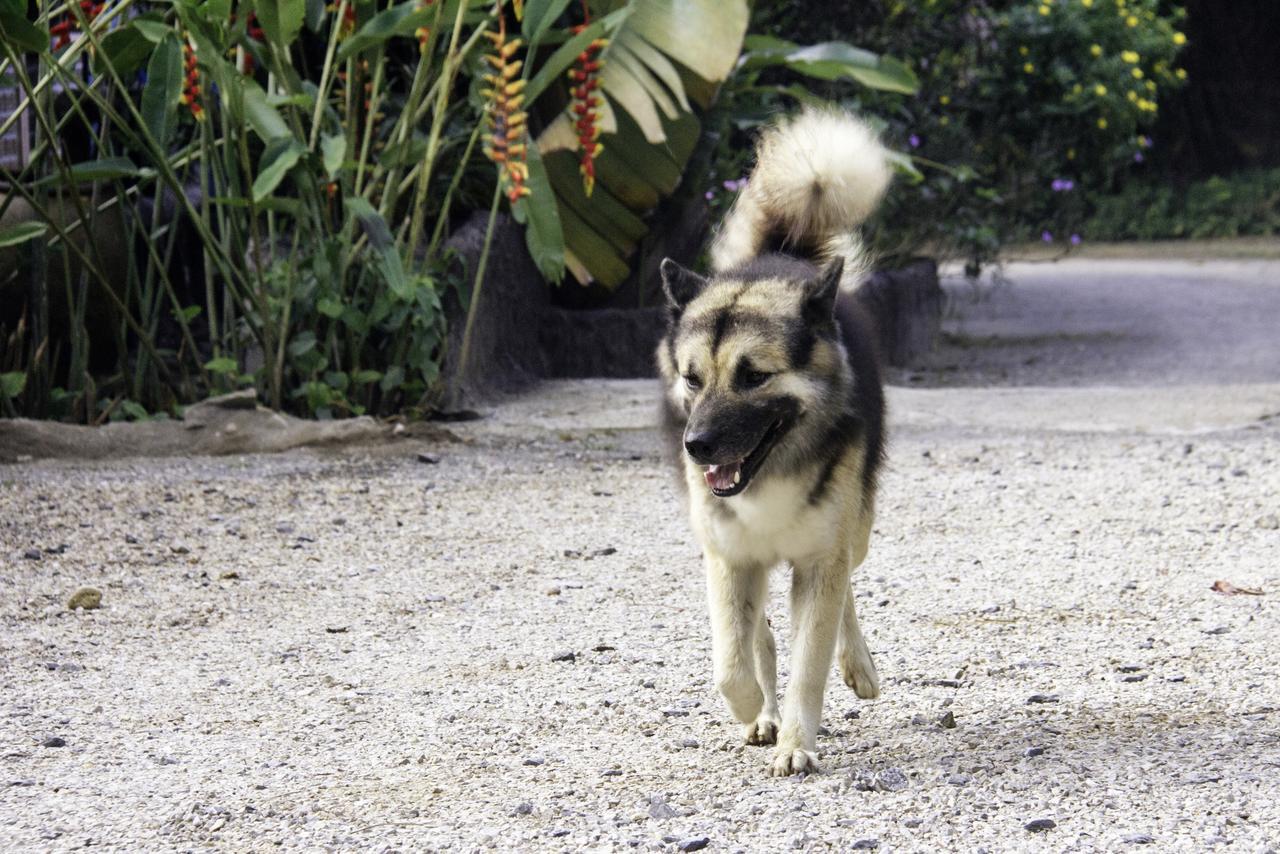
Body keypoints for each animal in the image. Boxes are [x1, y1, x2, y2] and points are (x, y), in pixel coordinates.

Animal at [660, 106, 890, 773]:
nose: (697, 446)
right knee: (757, 634)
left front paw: (796, 744)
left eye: (754, 377)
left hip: (855, 533)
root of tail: (781, 255)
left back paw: (857, 665)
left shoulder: (820, 559)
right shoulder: (729, 559)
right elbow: (733, 662)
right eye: (693, 378)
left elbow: (810, 659)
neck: (772, 473)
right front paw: (753, 711)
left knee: (845, 598)